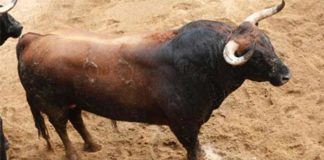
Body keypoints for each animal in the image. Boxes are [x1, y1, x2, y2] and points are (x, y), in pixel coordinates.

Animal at [16, 0, 290, 159]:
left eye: (269, 44)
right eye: (255, 56)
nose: (286, 74)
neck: (207, 63)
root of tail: (32, 39)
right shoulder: (184, 125)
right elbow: (193, 149)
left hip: (73, 100)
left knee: (77, 119)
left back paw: (93, 146)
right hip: (53, 104)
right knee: (61, 126)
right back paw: (74, 154)